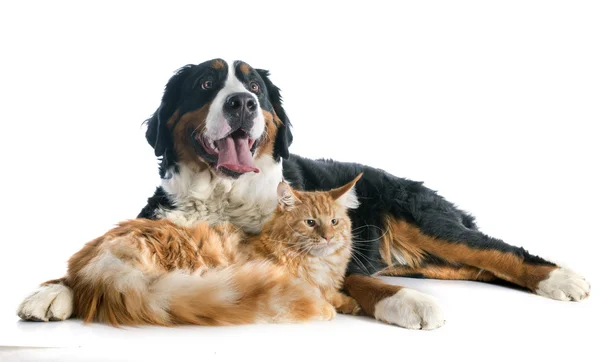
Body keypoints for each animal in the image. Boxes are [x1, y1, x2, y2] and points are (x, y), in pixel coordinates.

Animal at [24, 173, 366, 326]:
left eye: (334, 221)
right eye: (310, 222)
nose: (327, 237)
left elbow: (338, 293)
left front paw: (349, 302)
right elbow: (322, 297)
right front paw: (333, 306)